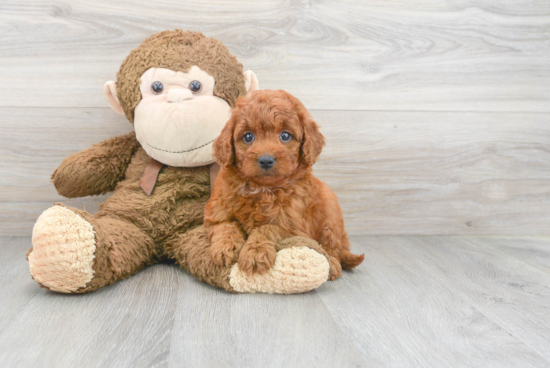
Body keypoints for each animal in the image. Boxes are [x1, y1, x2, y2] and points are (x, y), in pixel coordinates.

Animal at [205, 90, 364, 278]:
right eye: (248, 136)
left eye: (285, 135)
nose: (266, 160)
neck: (262, 189)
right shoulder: (217, 213)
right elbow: (226, 226)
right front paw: (225, 247)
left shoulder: (293, 228)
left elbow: (268, 228)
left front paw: (255, 253)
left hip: (330, 212)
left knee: (332, 247)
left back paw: (332, 264)